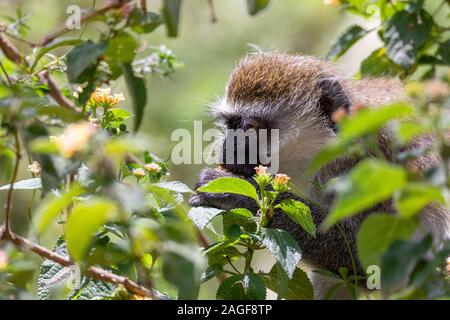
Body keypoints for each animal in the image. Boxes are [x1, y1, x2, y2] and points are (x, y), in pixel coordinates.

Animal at [188, 53, 448, 300]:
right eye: (231, 124)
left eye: (251, 128)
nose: (227, 150)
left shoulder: (366, 166)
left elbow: (368, 260)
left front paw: (236, 194)